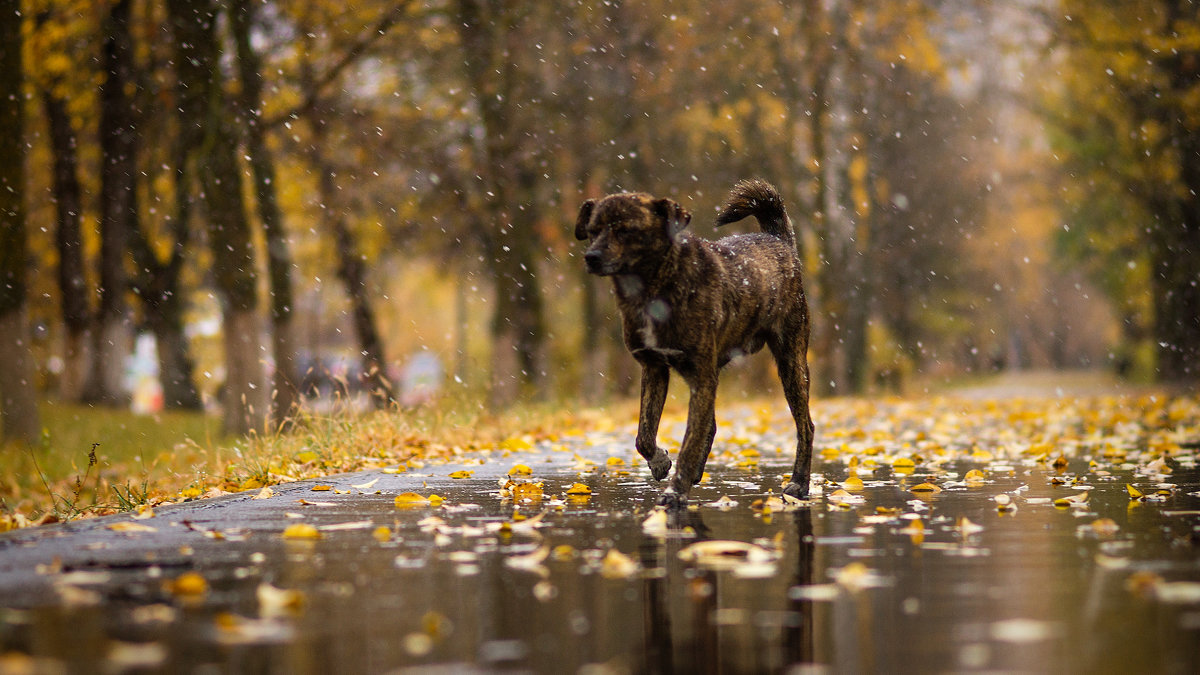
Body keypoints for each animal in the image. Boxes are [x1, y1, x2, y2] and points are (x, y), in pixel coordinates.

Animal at [573, 178, 816, 504]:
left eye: (625, 230)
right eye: (593, 230)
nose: (592, 257)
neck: (652, 291)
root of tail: (778, 240)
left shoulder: (701, 375)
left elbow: (688, 443)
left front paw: (675, 492)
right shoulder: (654, 369)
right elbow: (644, 435)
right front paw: (660, 461)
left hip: (791, 364)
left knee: (806, 426)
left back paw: (799, 483)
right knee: (709, 425)